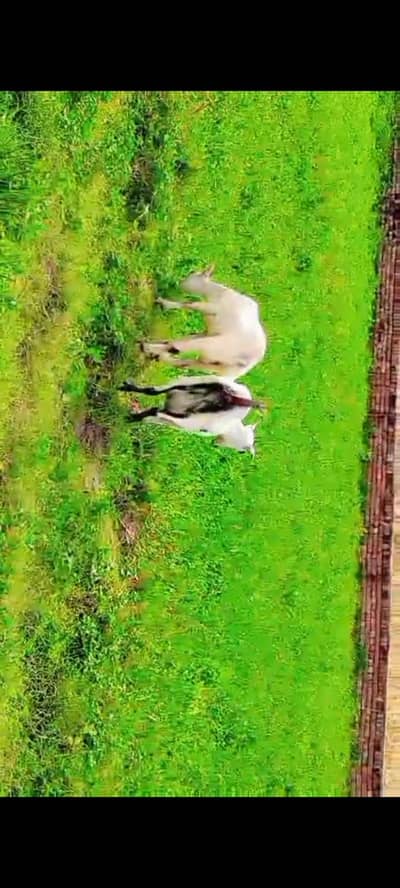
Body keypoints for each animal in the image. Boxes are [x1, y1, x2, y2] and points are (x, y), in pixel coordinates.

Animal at [119, 374, 265, 454]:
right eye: (242, 451)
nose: (215, 444)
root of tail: (232, 399)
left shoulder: (171, 419)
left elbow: (150, 418)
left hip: (189, 382)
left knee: (153, 392)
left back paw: (126, 390)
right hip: (194, 419)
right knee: (155, 409)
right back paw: (127, 418)